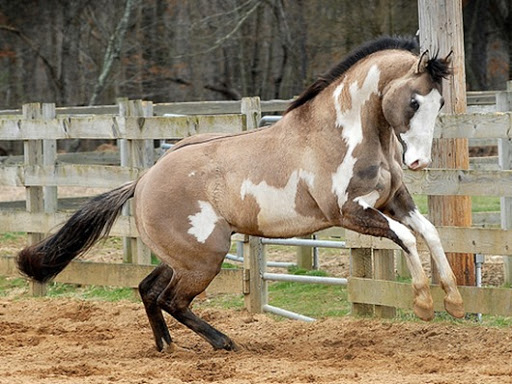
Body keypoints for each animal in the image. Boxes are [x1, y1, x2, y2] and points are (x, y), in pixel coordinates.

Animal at [17, 37, 464, 352]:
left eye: (441, 102)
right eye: (413, 101)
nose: (419, 161)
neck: (339, 134)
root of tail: (141, 182)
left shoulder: (393, 203)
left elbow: (429, 232)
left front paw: (455, 301)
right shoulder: (350, 213)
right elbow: (406, 237)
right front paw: (424, 305)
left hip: (184, 257)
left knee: (149, 290)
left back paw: (168, 348)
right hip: (205, 258)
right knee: (173, 300)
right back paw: (224, 343)